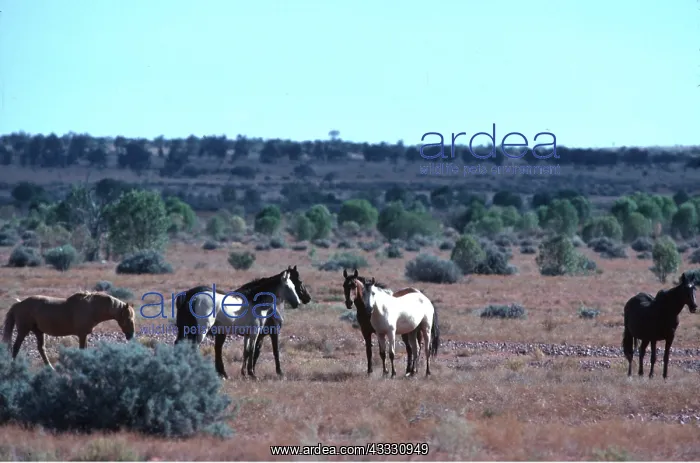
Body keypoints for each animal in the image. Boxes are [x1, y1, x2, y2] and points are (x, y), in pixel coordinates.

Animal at [2, 291, 135, 369]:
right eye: (128, 318)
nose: (131, 335)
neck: (91, 308)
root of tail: (18, 305)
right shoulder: (82, 335)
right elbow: (82, 350)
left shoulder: (85, 335)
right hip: (23, 331)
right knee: (16, 347)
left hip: (39, 332)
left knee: (41, 349)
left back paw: (50, 368)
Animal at [174, 268, 302, 379]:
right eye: (287, 286)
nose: (298, 303)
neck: (255, 302)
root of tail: (194, 298)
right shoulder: (255, 333)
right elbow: (252, 351)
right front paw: (252, 374)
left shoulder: (247, 335)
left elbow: (246, 352)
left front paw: (244, 373)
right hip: (202, 330)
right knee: (194, 347)